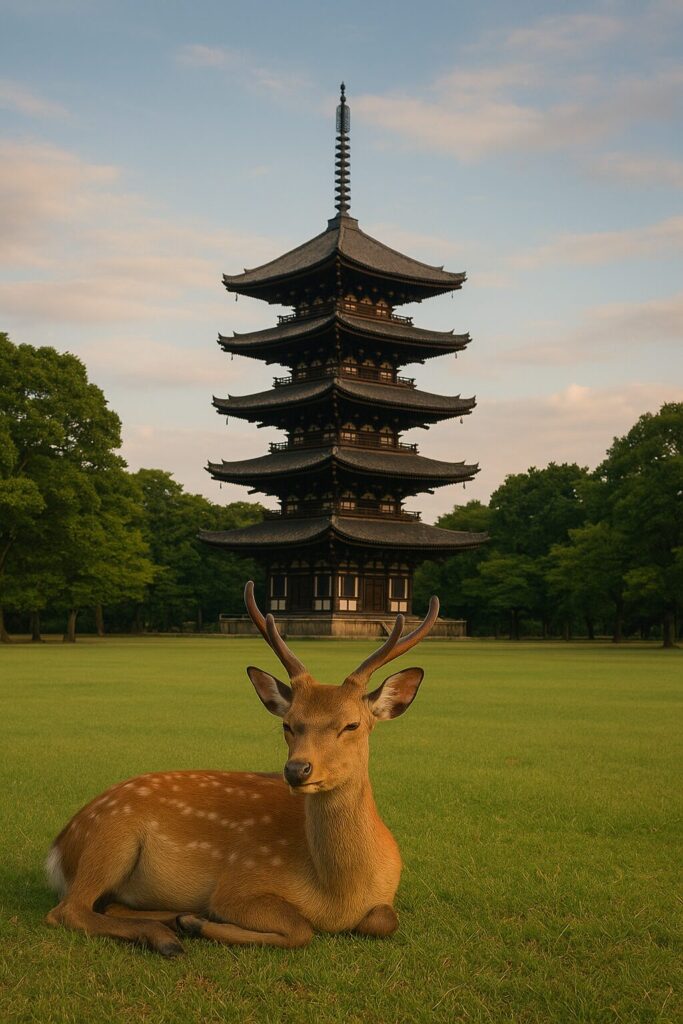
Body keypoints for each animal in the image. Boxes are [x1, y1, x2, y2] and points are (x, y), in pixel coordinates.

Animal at [45, 581, 439, 956]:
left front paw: (192, 920)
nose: (297, 769)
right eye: (288, 723)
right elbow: (300, 929)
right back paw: (168, 935)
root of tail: (59, 847)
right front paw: (201, 923)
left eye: (352, 724)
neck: (339, 897)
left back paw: (176, 920)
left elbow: (384, 919)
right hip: (112, 838)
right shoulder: (240, 882)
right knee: (68, 910)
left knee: (107, 905)